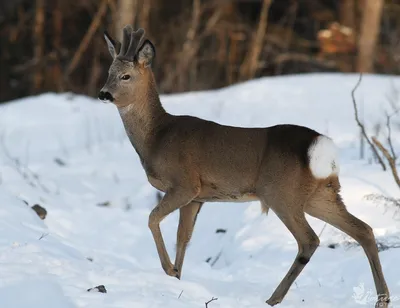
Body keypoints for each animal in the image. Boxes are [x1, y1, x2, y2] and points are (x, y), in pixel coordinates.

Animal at [98, 25, 390, 306]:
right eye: (109, 72)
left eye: (126, 76)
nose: (103, 94)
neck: (156, 137)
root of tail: (321, 146)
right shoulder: (198, 197)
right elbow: (183, 238)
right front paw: (177, 277)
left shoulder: (185, 184)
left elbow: (152, 218)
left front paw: (169, 270)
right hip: (321, 194)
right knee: (363, 229)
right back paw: (382, 299)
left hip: (281, 193)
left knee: (309, 240)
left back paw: (273, 298)